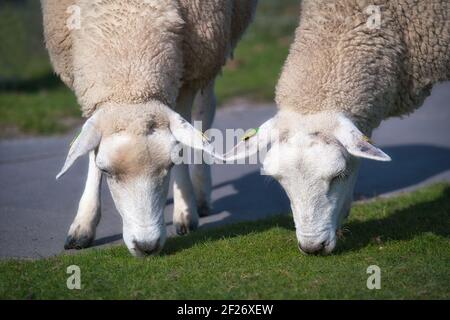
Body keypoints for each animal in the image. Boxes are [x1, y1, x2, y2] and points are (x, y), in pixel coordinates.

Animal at [40, 0, 258, 256]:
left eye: (170, 165)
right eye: (106, 171)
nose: (146, 246)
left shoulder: (190, 71)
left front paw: (185, 211)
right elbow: (91, 149)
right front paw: (83, 224)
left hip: (213, 50)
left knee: (205, 112)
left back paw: (201, 196)